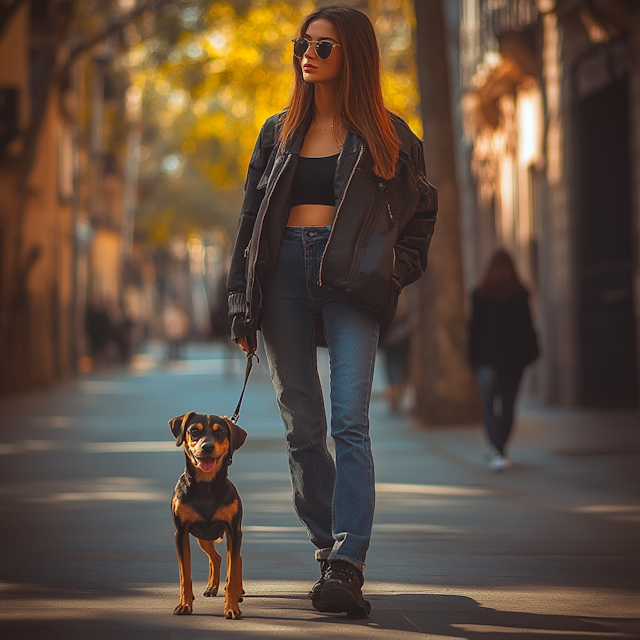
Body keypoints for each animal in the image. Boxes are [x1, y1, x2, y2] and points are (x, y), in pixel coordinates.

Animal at [168, 412, 248, 616]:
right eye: (194, 431)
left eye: (221, 432)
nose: (207, 447)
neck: (206, 486)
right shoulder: (181, 532)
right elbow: (185, 574)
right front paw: (185, 605)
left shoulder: (234, 531)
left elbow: (232, 572)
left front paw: (232, 608)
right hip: (203, 538)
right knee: (216, 558)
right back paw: (212, 587)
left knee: (236, 559)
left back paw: (237, 591)